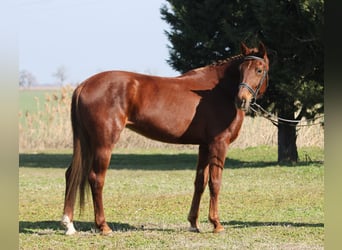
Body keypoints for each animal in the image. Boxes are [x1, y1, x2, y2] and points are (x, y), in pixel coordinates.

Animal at [61, 42, 270, 235]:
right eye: (241, 70)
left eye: (259, 70)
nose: (241, 100)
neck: (217, 91)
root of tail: (83, 86)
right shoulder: (219, 144)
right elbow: (215, 183)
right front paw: (216, 224)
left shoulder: (204, 145)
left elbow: (200, 183)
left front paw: (193, 223)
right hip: (103, 144)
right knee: (96, 179)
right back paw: (103, 226)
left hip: (87, 143)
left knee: (71, 174)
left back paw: (68, 224)